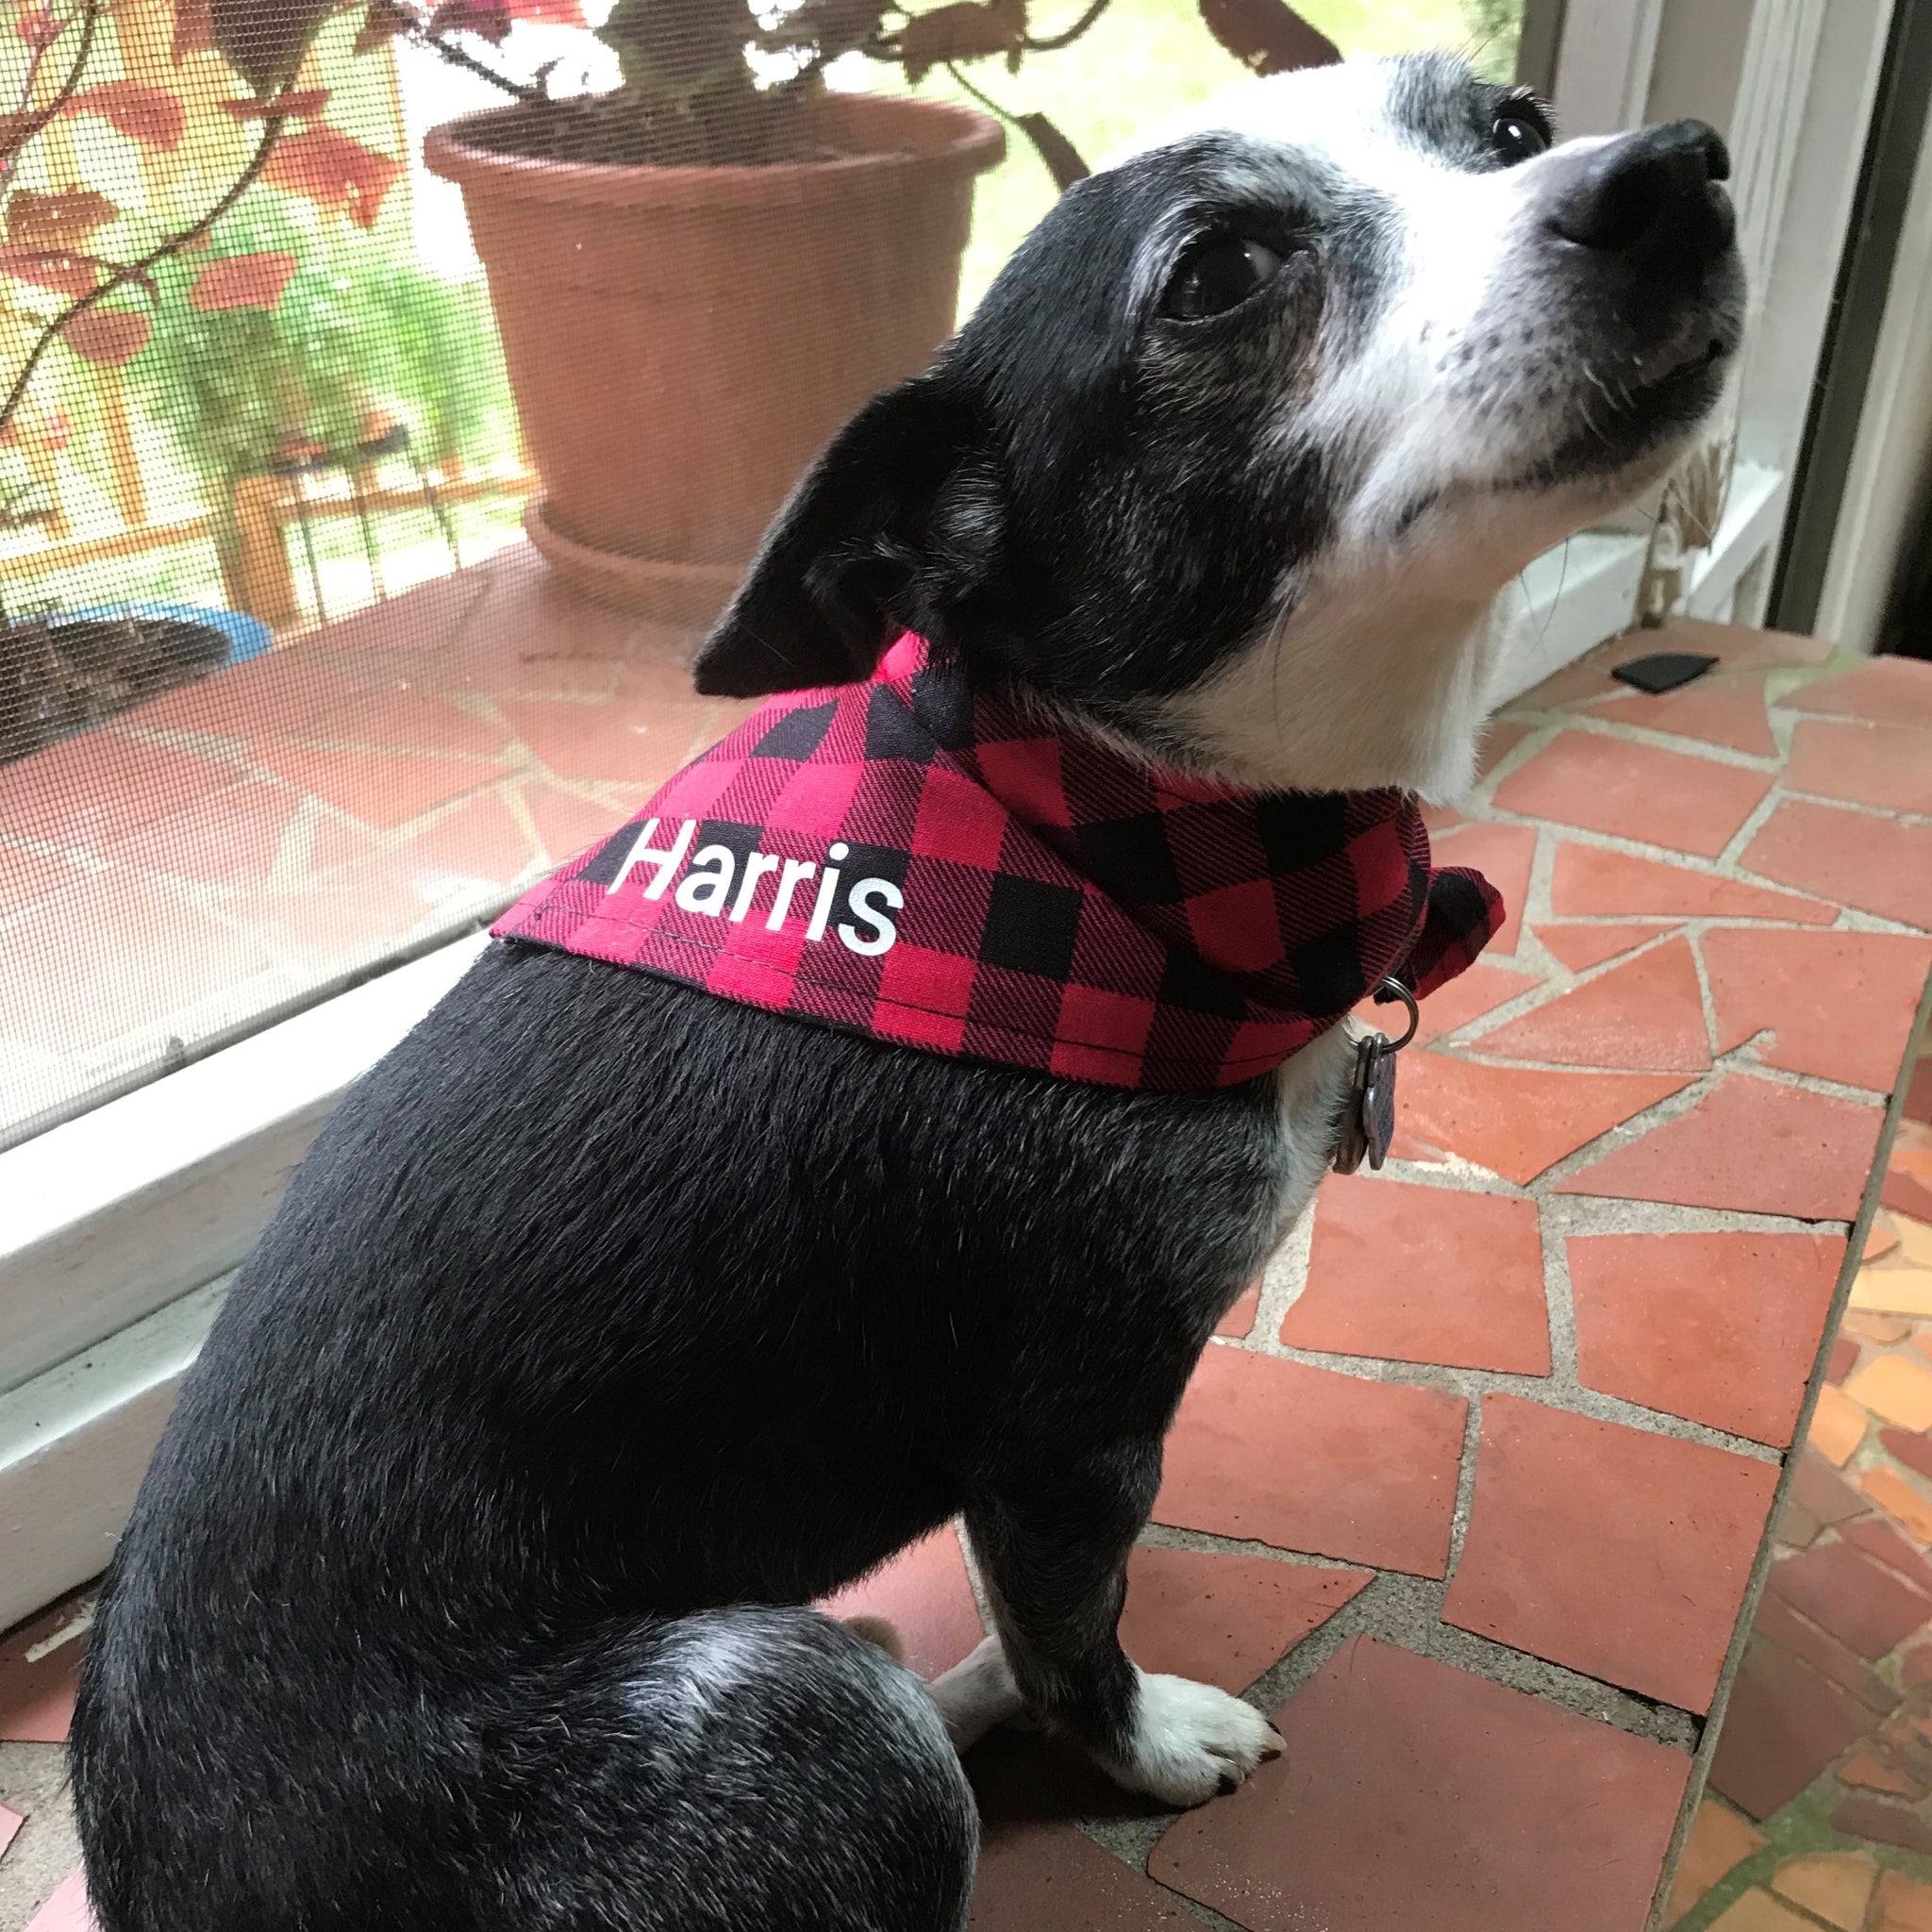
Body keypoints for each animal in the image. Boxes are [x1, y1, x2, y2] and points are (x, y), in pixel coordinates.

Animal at [71, 53, 1739, 1924]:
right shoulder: (1073, 1439)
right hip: (800, 1715)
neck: (1098, 839)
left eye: (1511, 128)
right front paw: (1142, 1740)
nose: (1670, 176)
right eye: (1216, 275)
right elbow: (1083, 1633)